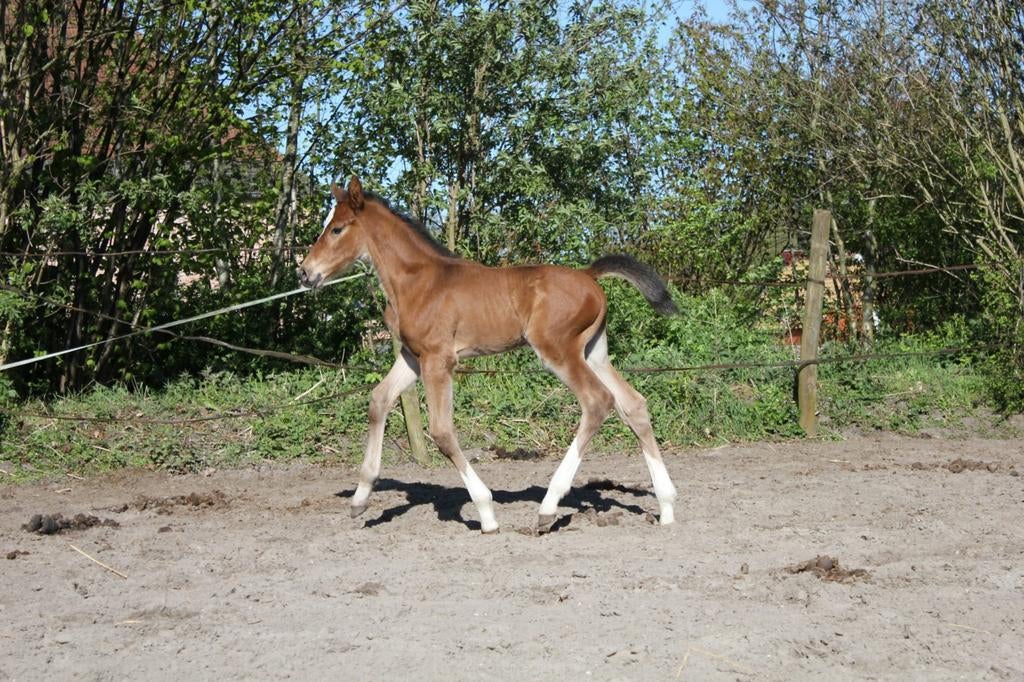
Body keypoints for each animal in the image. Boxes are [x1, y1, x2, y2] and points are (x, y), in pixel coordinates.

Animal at [298, 176, 678, 534]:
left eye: (337, 228)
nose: (305, 272)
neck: (417, 281)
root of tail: (589, 277)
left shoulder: (439, 360)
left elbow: (441, 431)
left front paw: (486, 513)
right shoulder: (412, 357)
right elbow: (378, 401)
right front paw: (360, 500)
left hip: (558, 351)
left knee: (598, 401)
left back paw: (548, 508)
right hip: (594, 351)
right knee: (633, 404)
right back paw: (667, 507)